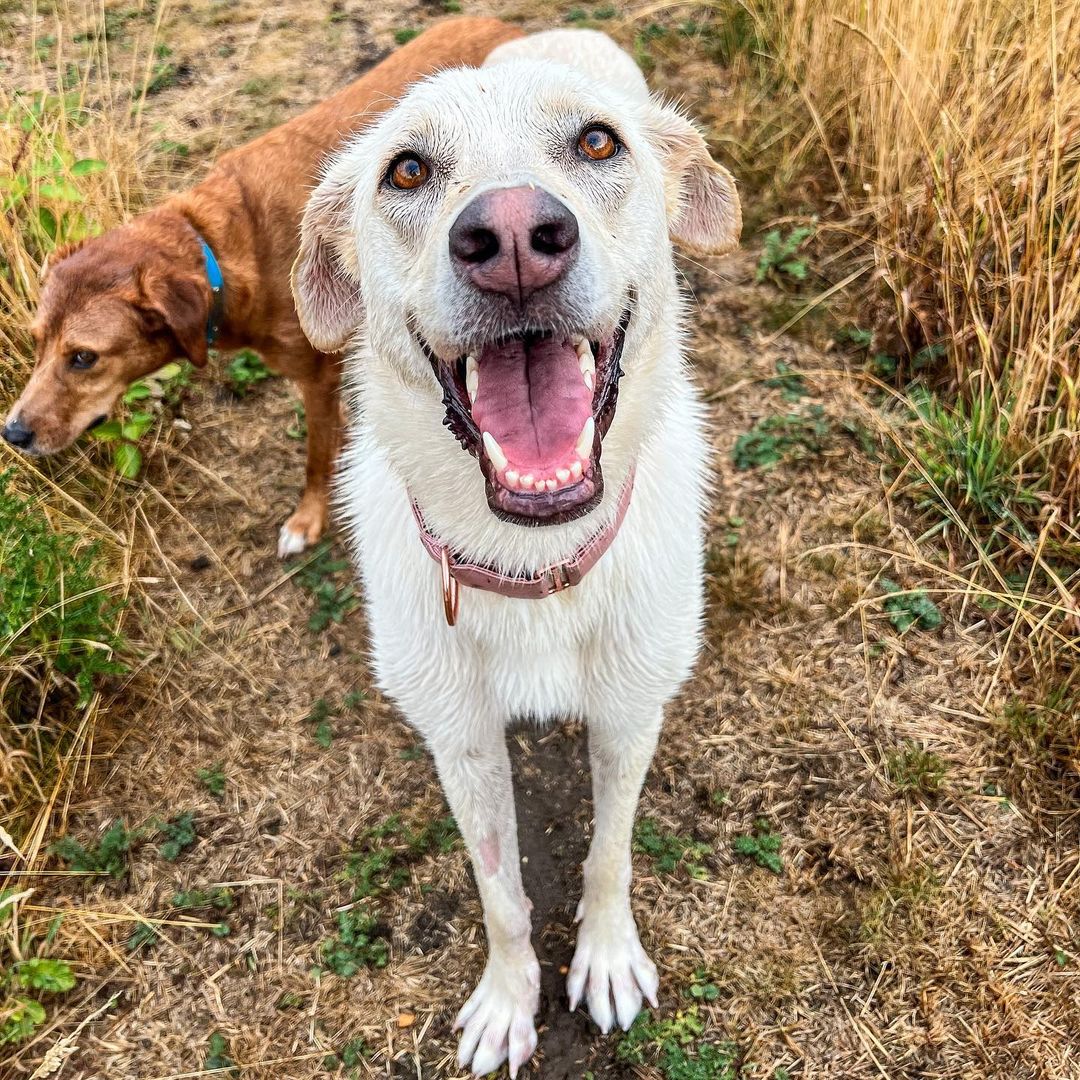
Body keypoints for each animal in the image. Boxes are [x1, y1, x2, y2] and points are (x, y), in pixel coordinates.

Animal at [0, 14, 522, 557]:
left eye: (84, 357)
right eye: (36, 342)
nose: (12, 434)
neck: (218, 247)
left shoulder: (318, 381)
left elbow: (318, 458)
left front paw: (307, 519)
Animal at [291, 29, 738, 1075]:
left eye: (598, 142)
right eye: (406, 169)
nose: (511, 240)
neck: (533, 566)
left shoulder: (630, 712)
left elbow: (608, 853)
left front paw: (606, 959)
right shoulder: (459, 740)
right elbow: (500, 894)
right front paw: (508, 1001)